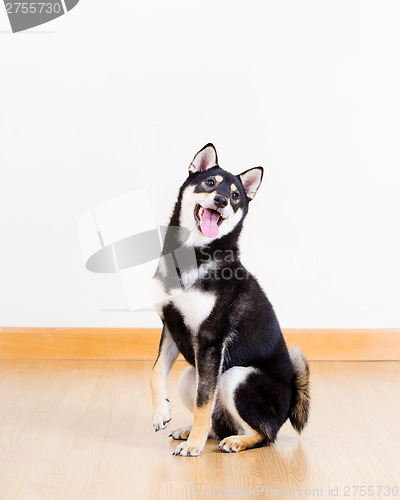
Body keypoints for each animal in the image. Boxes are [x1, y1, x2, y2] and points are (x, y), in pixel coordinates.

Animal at [150, 145, 310, 458]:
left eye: (236, 196)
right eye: (210, 183)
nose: (222, 200)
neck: (194, 255)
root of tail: (289, 404)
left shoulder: (211, 339)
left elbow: (203, 402)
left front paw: (194, 447)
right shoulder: (171, 326)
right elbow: (154, 373)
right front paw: (161, 413)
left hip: (236, 376)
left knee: (263, 434)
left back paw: (234, 441)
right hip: (191, 375)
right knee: (219, 422)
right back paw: (195, 432)